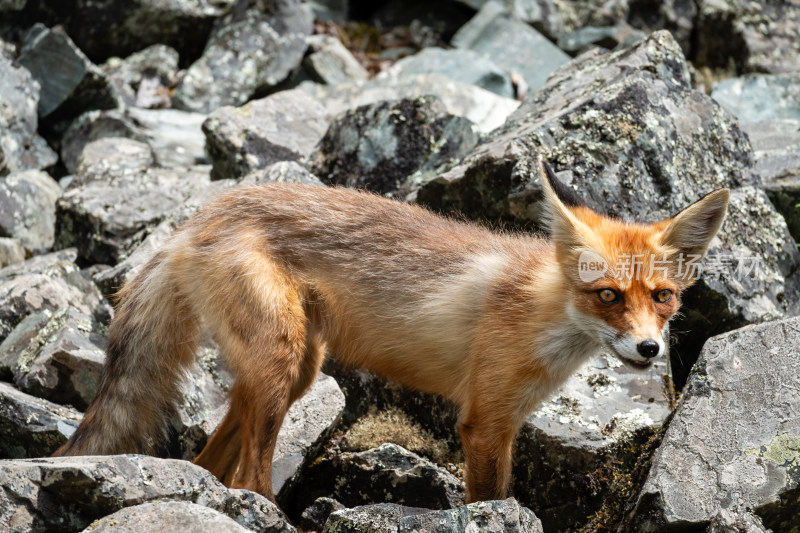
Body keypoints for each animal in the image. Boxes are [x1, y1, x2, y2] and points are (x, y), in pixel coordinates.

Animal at [54, 158, 732, 502]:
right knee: (246, 478)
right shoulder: (484, 423)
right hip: (281, 364)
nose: (649, 348)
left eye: (664, 298)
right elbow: (490, 500)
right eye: (608, 295)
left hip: (294, 372)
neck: (541, 314)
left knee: (209, 463)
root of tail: (200, 217)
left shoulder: (506, 421)